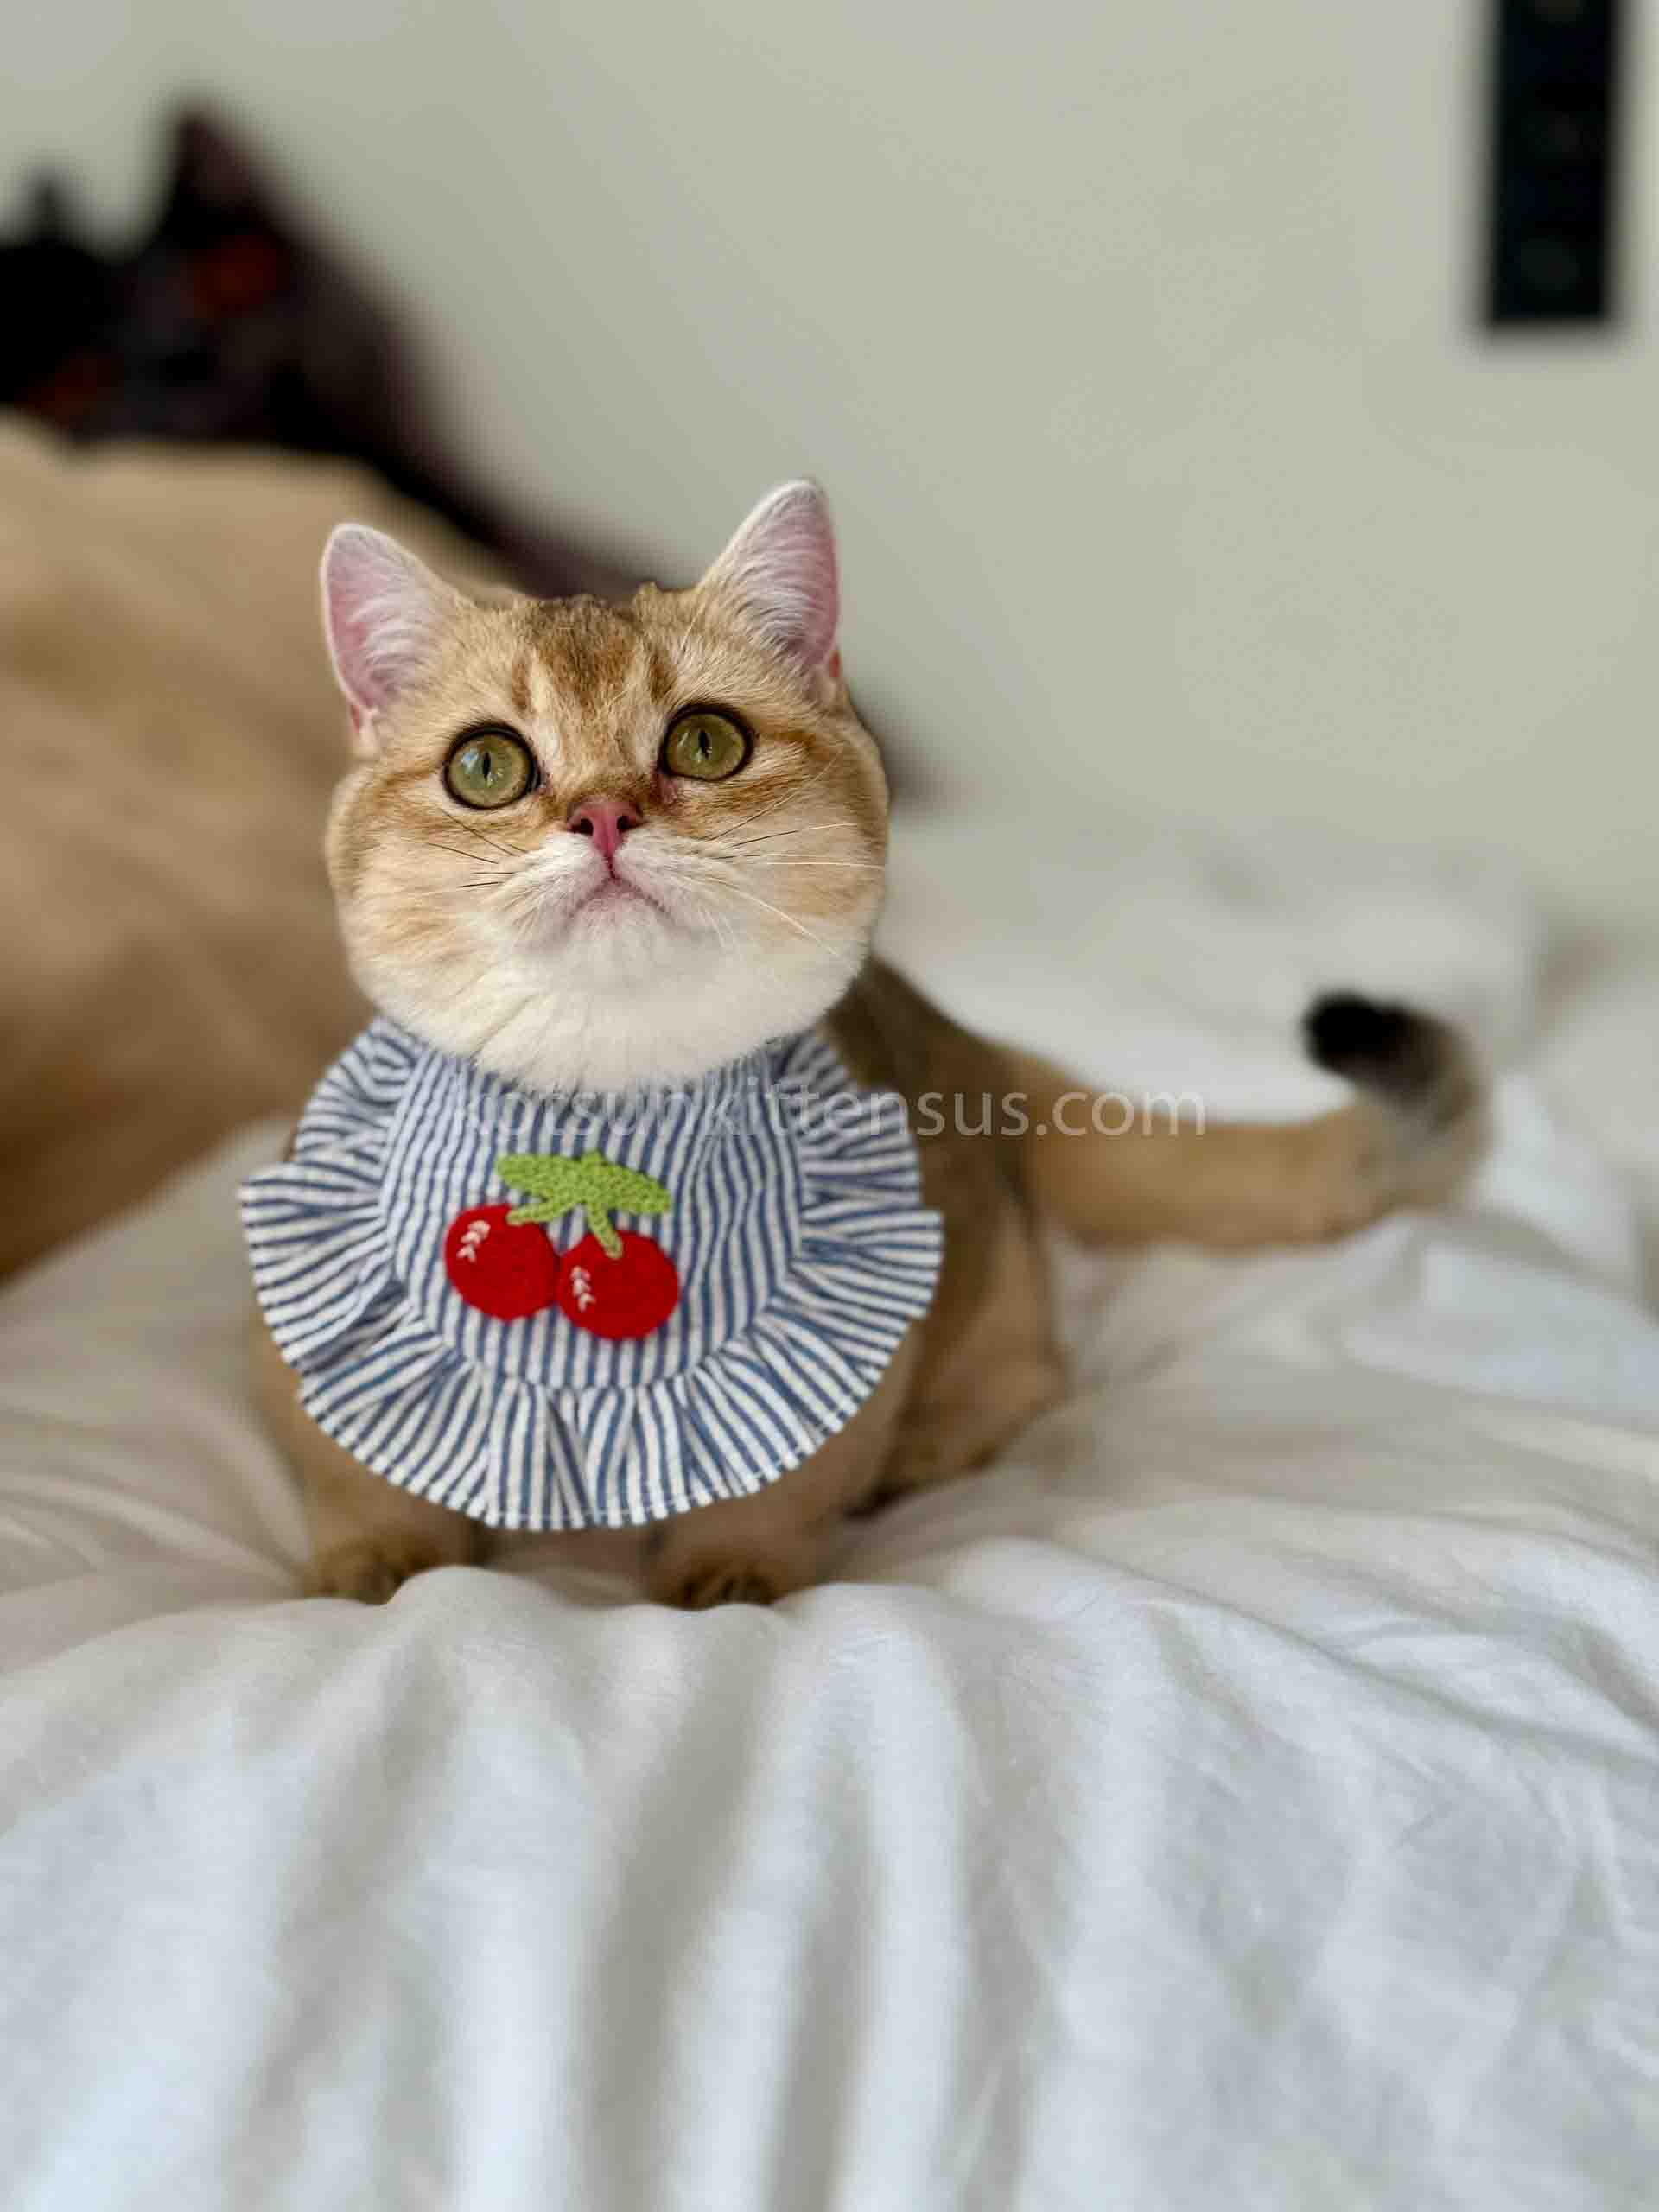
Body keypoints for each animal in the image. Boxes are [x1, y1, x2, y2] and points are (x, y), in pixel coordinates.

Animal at [250, 481, 1486, 1608]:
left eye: (706, 743)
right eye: (488, 767)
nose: (603, 816)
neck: (600, 1135)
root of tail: (985, 1052)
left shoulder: (836, 1345)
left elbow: (773, 1485)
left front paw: (730, 1574)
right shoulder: (327, 1322)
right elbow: (362, 1473)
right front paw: (381, 1564)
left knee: (1031, 1375)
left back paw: (928, 1450)